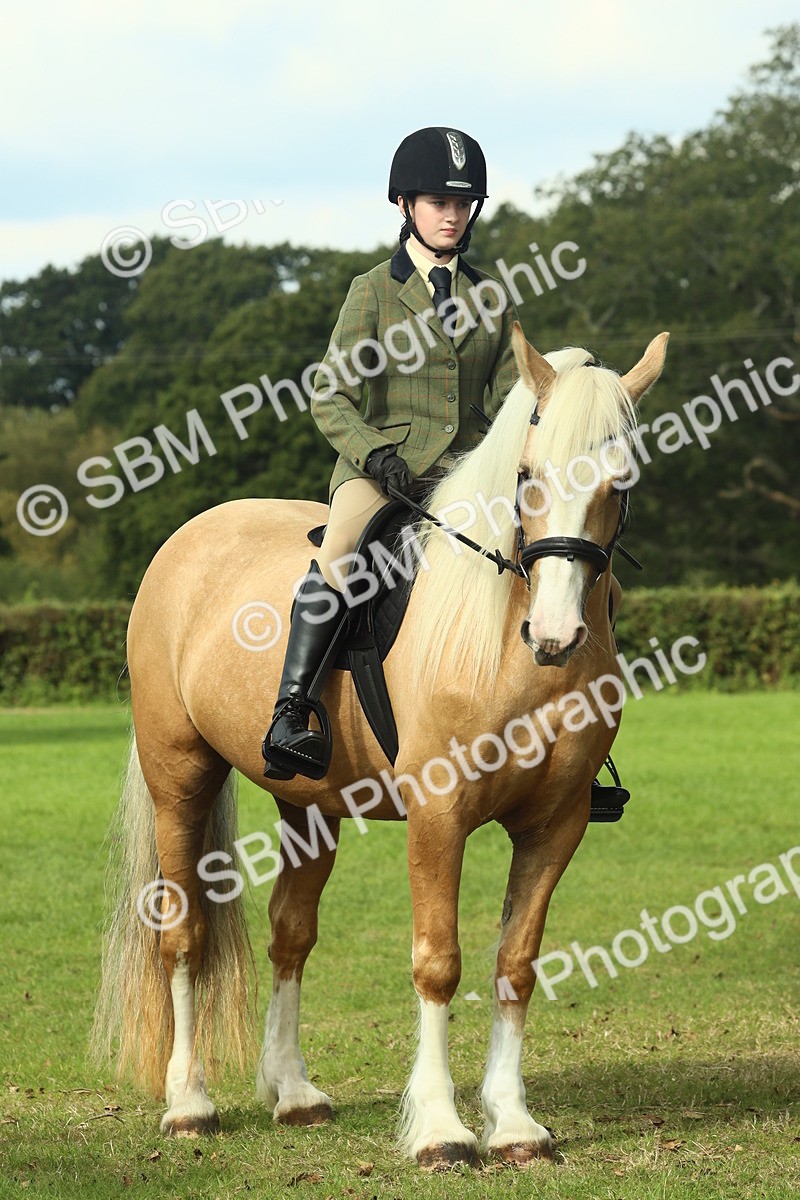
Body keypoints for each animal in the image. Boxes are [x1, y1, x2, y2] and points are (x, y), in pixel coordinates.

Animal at [92, 324, 668, 1170]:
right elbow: (438, 964)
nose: (556, 636)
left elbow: (514, 965)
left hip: (309, 804)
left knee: (291, 933)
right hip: (180, 778)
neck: (501, 634)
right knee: (184, 931)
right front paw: (440, 1130)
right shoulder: (439, 816)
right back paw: (189, 1102)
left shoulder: (555, 824)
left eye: (620, 483)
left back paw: (294, 1093)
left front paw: (514, 1124)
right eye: (526, 475)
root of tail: (187, 539)